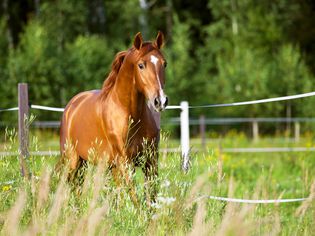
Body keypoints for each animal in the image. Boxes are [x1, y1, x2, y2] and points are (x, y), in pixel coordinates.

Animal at [58, 31, 169, 206]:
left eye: (164, 64)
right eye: (141, 65)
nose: (160, 101)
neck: (131, 115)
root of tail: (71, 106)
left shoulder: (150, 161)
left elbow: (151, 197)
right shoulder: (125, 162)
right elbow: (135, 199)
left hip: (100, 165)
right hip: (73, 161)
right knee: (72, 187)